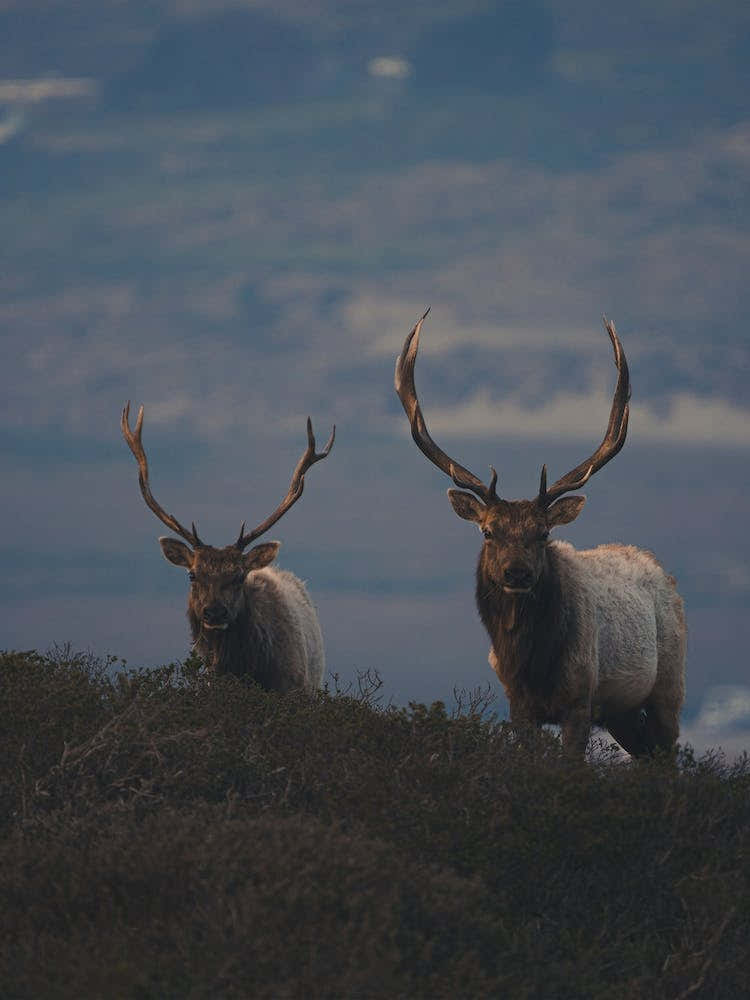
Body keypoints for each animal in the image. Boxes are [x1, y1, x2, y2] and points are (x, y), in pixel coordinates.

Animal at [395, 310, 686, 757]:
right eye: (488, 531)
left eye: (544, 533)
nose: (517, 572)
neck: (531, 666)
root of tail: (659, 570)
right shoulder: (519, 707)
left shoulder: (580, 699)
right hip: (622, 713)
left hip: (668, 686)